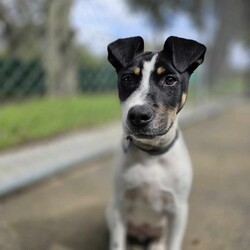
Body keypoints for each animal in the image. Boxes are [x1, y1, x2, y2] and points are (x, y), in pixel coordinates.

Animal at [106, 35, 206, 250]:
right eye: (127, 79)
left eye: (170, 80)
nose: (138, 115)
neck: (150, 155)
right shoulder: (119, 207)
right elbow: (117, 244)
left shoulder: (178, 210)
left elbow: (174, 244)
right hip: (110, 211)